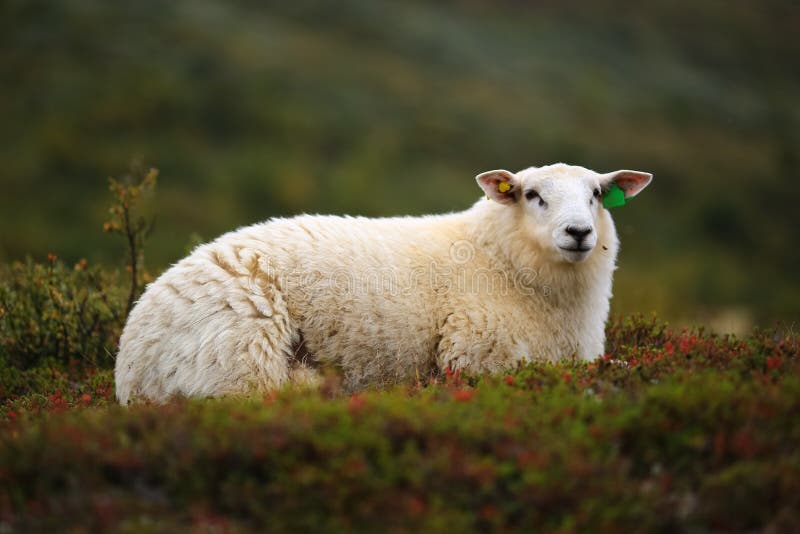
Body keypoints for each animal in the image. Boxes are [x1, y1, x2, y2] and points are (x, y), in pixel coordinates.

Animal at [115, 163, 652, 403]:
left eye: (597, 193)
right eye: (533, 195)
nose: (579, 232)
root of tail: (129, 367)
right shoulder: (477, 356)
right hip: (237, 361)